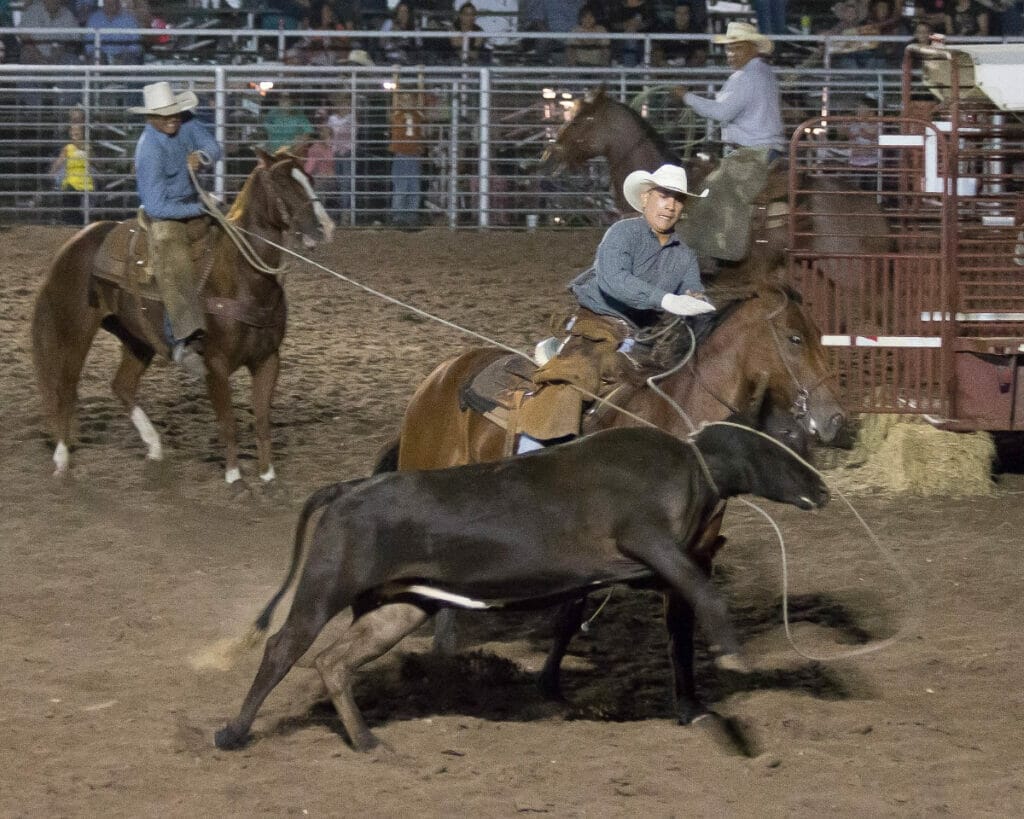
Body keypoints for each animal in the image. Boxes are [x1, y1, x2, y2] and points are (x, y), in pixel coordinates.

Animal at [29, 150, 333, 487]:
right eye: (281, 181)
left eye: (310, 178)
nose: (324, 228)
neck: (242, 275)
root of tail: (78, 241)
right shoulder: (216, 364)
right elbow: (228, 422)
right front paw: (234, 477)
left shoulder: (268, 359)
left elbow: (263, 421)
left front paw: (267, 476)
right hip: (75, 330)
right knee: (65, 388)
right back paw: (62, 458)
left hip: (136, 338)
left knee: (122, 385)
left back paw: (154, 447)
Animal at [380, 286, 843, 724]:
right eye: (795, 338)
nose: (836, 419)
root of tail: (441, 375)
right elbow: (572, 613)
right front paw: (549, 688)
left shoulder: (691, 554)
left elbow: (680, 625)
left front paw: (690, 707)